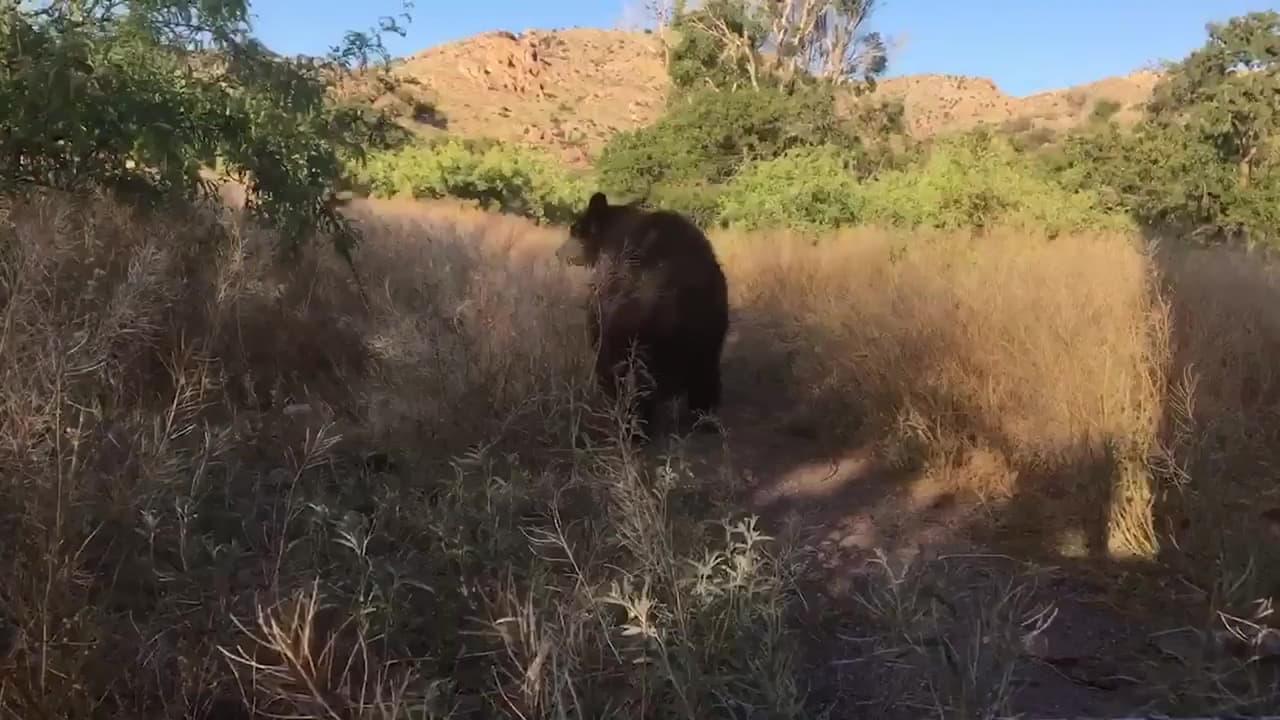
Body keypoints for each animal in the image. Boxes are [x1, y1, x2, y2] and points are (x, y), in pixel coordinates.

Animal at [555, 191, 730, 442]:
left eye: (575, 230)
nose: (558, 252)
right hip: (709, 326)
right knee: (706, 376)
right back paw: (705, 418)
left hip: (632, 323)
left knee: (625, 374)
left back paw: (630, 424)